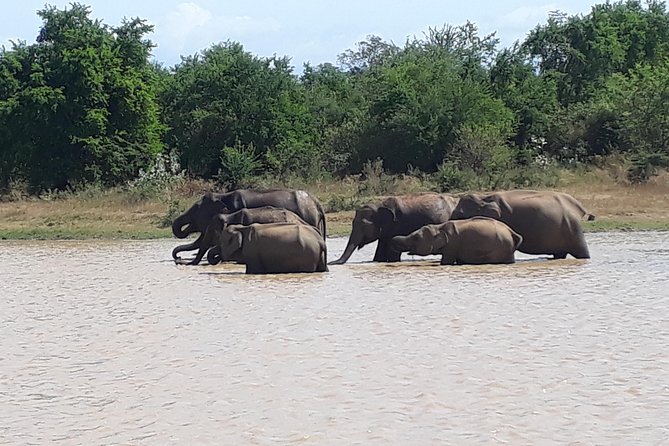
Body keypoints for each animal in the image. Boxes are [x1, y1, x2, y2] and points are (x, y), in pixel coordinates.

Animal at [390, 217, 523, 265]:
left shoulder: (452, 245)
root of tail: (512, 232)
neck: (439, 227)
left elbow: (446, 262)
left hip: (502, 247)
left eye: (416, 238)